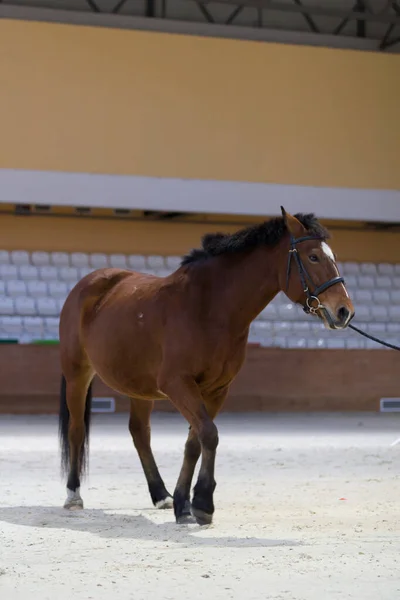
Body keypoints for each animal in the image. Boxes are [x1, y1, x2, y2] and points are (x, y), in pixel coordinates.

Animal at [58, 207, 354, 524]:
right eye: (313, 256)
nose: (344, 311)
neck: (208, 307)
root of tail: (90, 282)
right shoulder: (178, 384)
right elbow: (209, 435)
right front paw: (202, 502)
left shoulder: (216, 390)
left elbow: (196, 441)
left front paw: (183, 503)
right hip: (77, 374)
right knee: (77, 429)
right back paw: (73, 495)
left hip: (140, 388)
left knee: (140, 433)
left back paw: (161, 495)